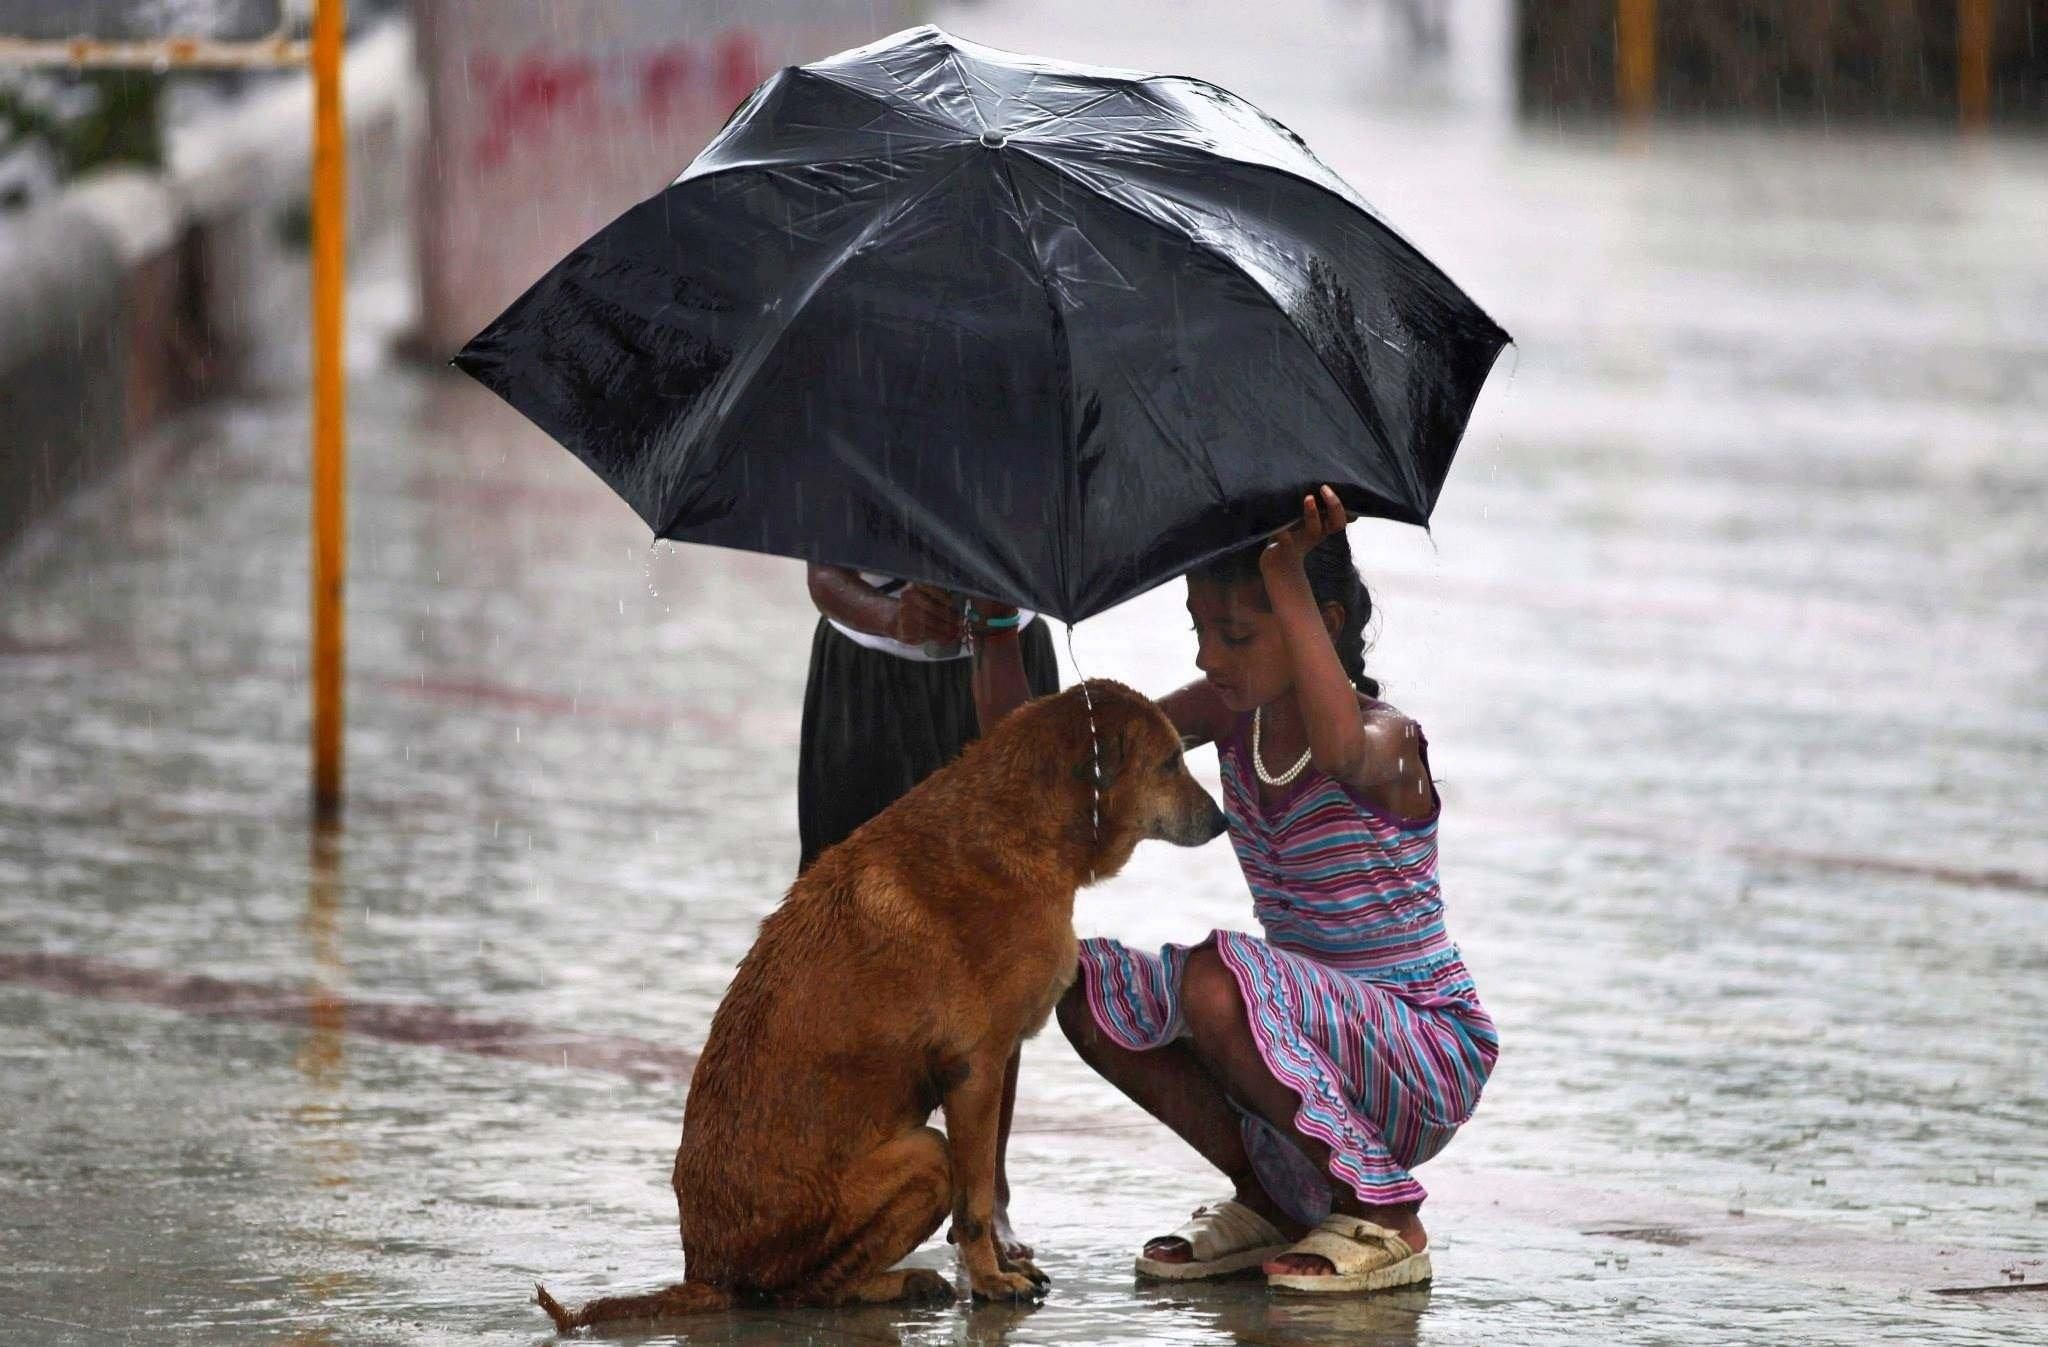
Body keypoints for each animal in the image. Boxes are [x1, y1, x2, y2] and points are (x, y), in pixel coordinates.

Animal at [536, 675, 1220, 1326]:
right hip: (923, 1157)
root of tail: (706, 1274)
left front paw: (996, 1270)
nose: (1221, 820)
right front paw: (991, 1280)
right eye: (1169, 764)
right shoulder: (976, 1070)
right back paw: (899, 1284)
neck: (1019, 824)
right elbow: (976, 1203)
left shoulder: (991, 1068)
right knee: (803, 1293)